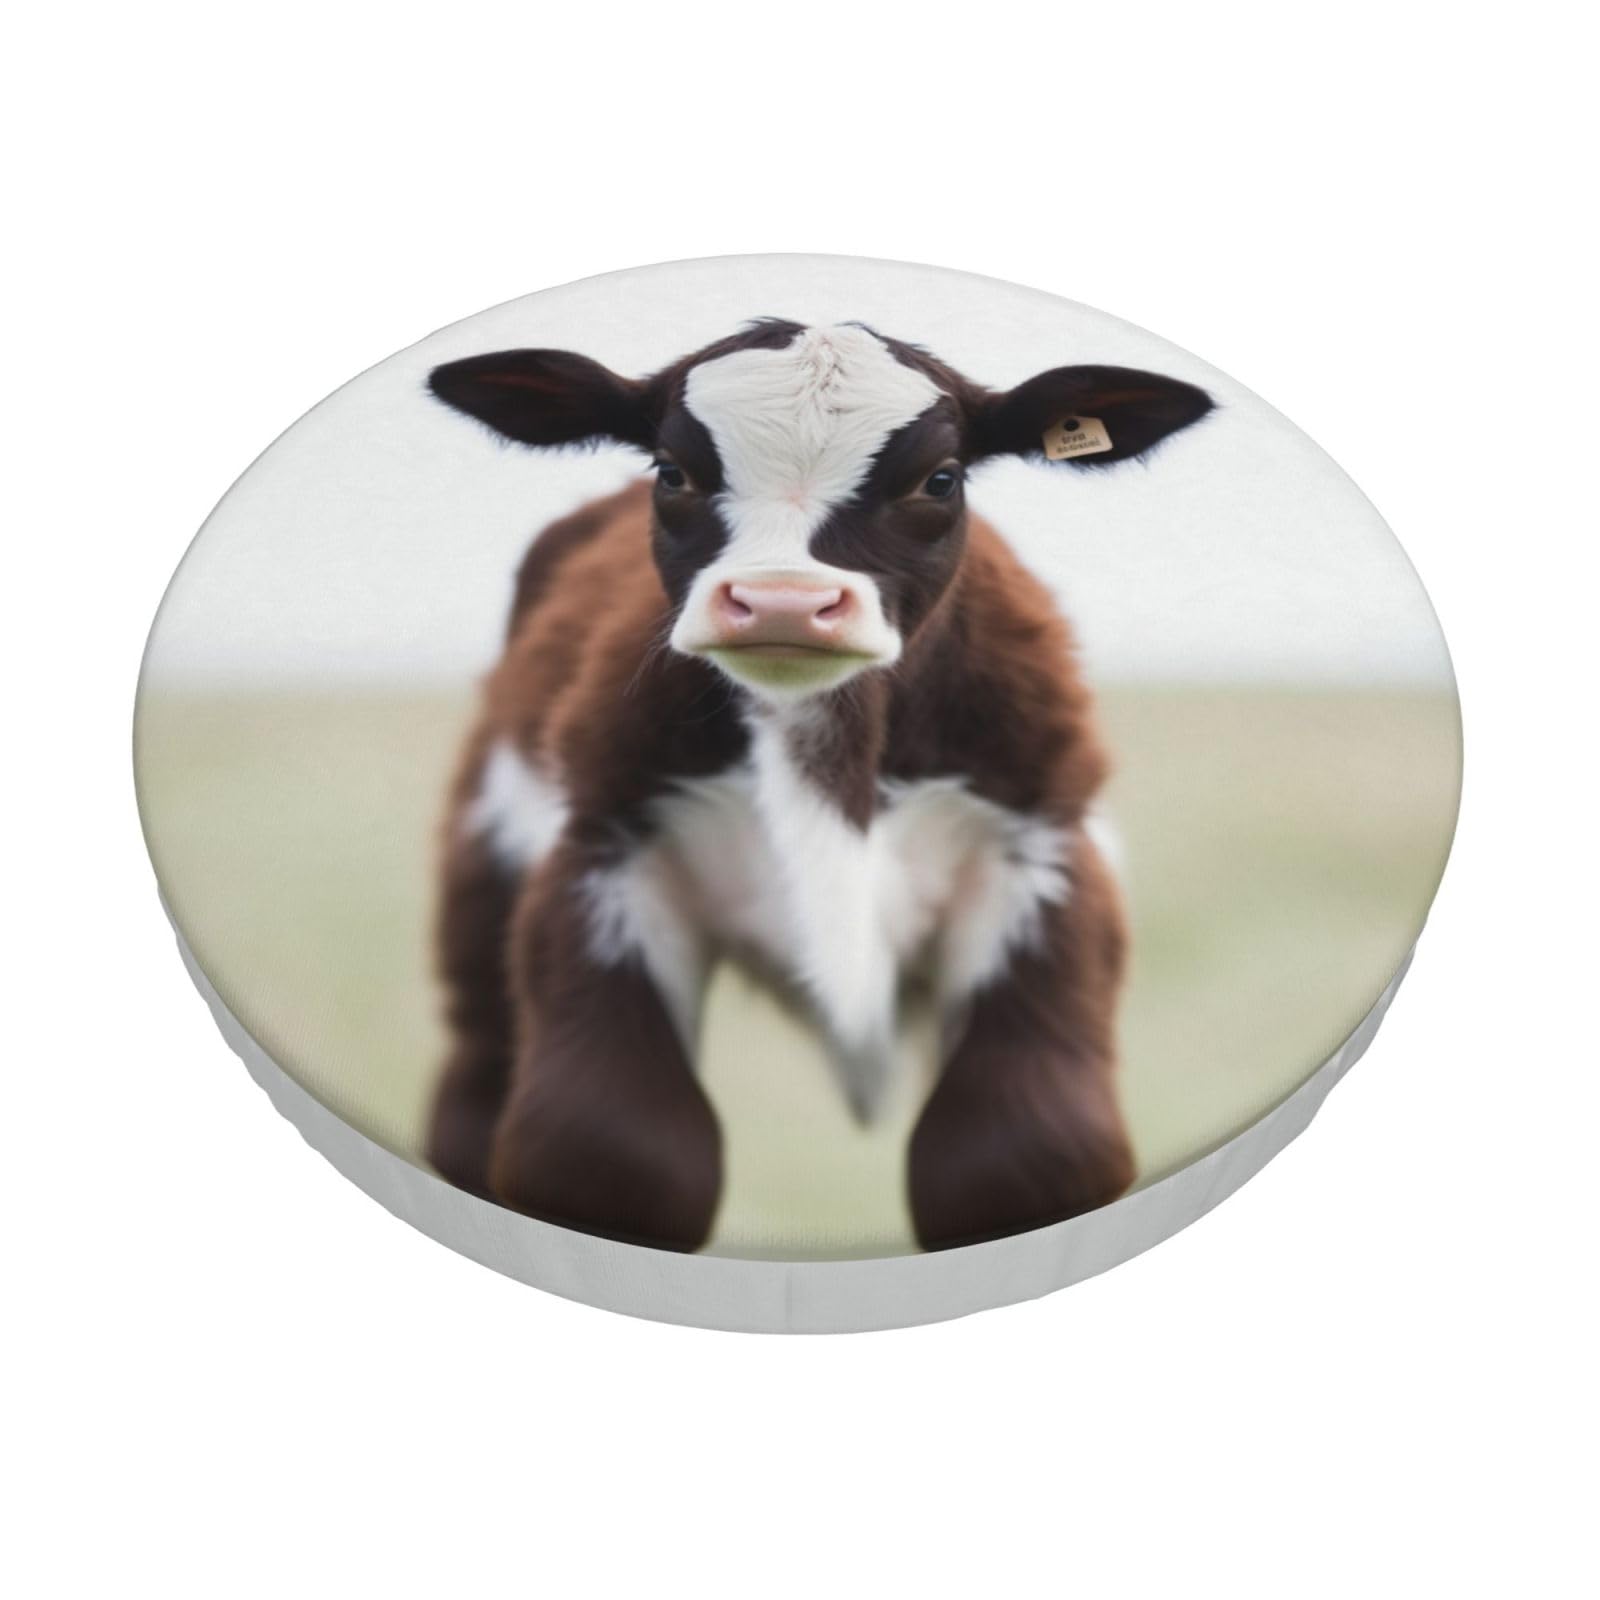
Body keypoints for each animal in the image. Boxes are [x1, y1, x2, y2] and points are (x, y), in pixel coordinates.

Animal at [423, 319, 1212, 1253]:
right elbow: (618, 1155)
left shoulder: (1042, 857)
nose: (782, 602)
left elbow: (1008, 1159)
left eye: (940, 478)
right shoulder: (604, 854)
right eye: (672, 471)